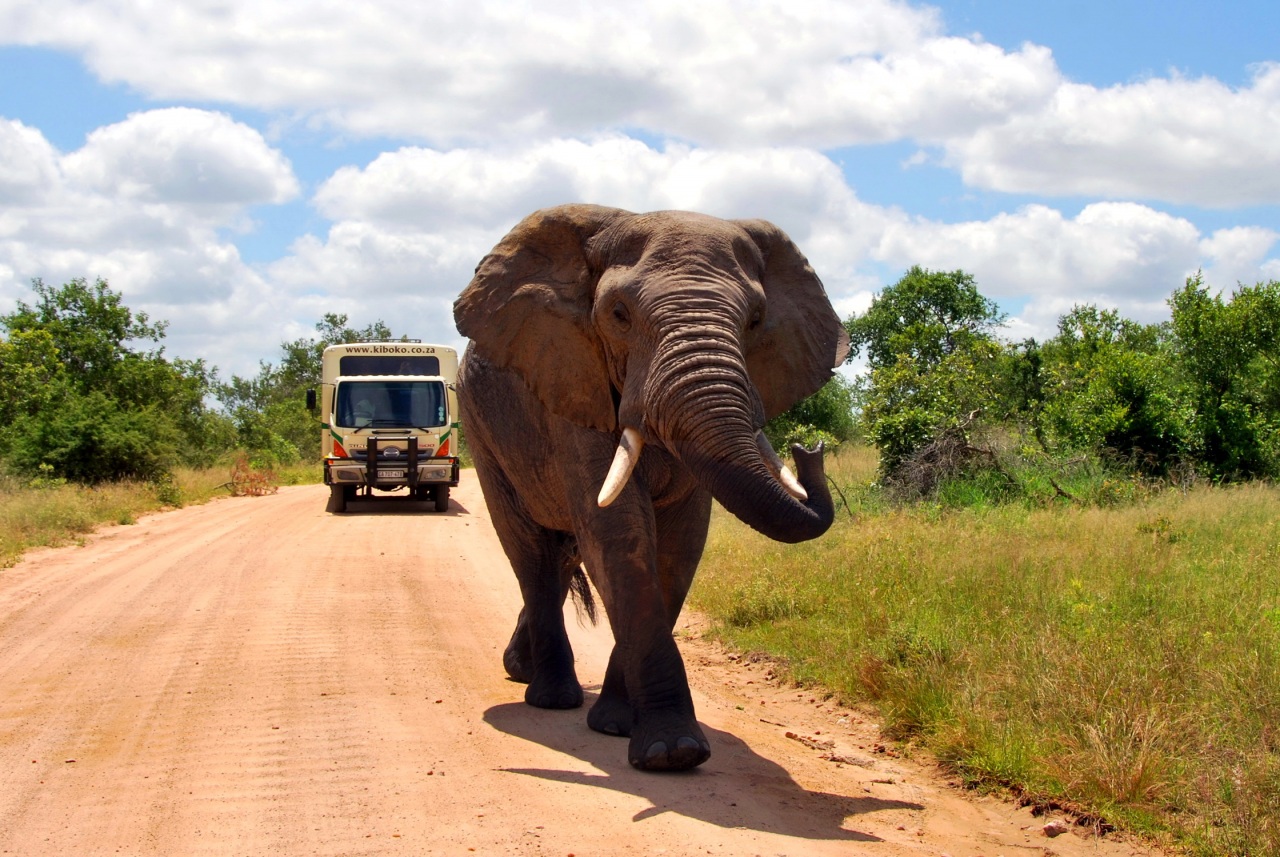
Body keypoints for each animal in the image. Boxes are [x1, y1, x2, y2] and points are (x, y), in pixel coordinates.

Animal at [450, 204, 849, 777]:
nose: (807, 450)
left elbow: (679, 548)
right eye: (618, 314)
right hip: (482, 429)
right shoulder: (573, 379)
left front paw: (621, 727)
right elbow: (620, 536)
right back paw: (551, 697)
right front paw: (672, 752)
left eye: (755, 320)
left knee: (562, 555)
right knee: (533, 555)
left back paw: (523, 670)